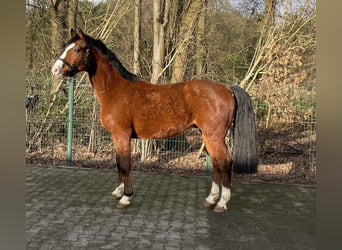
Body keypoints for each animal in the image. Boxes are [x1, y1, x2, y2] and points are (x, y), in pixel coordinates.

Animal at [52, 29, 258, 213]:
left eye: (77, 49)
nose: (55, 70)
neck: (116, 91)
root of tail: (226, 89)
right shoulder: (117, 137)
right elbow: (119, 163)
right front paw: (118, 192)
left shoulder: (121, 135)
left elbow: (125, 164)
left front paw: (126, 197)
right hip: (207, 136)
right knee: (216, 163)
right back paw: (211, 199)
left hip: (214, 136)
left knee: (226, 162)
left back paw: (222, 203)